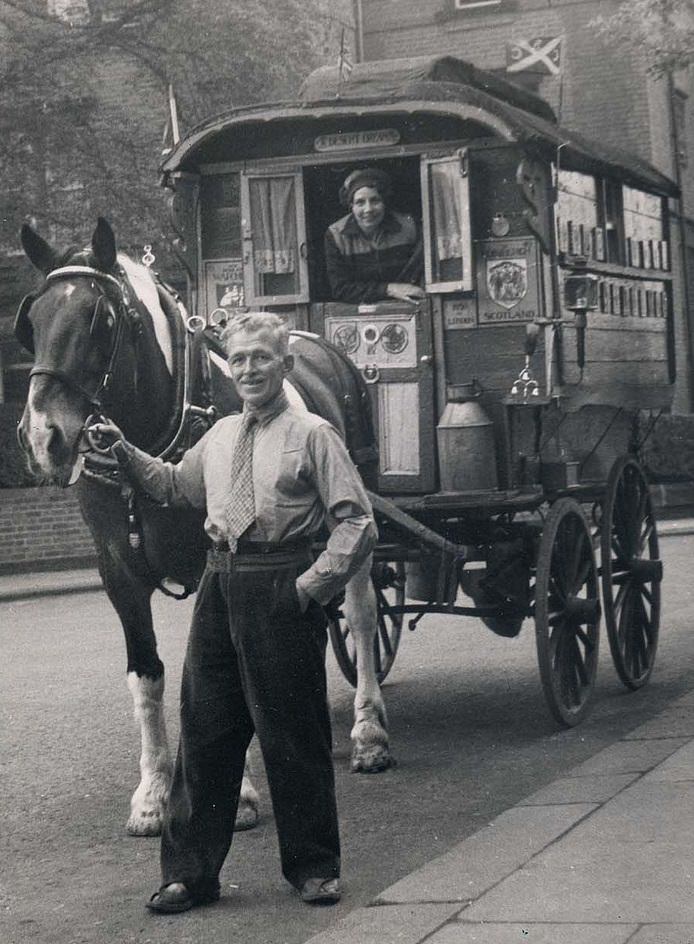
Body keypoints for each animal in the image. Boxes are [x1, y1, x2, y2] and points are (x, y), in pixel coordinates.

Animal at [16, 219, 394, 832]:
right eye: (33, 319)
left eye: (100, 319)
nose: (42, 436)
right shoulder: (119, 576)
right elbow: (148, 676)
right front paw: (152, 794)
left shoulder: (218, 562)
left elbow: (223, 665)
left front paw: (235, 793)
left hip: (353, 522)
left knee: (360, 614)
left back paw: (368, 733)